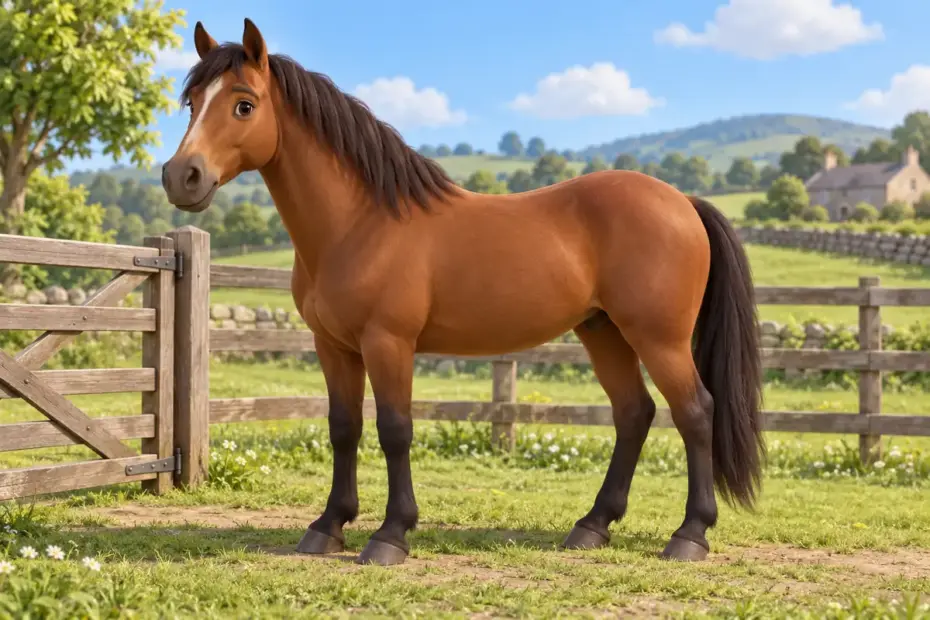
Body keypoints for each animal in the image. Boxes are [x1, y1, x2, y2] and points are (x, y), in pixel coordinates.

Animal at [160, 18, 765, 567]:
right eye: (192, 102)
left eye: (244, 105)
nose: (180, 176)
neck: (359, 223)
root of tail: (683, 202)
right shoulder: (333, 347)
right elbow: (344, 428)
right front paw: (328, 526)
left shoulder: (388, 343)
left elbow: (395, 430)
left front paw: (390, 536)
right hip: (603, 332)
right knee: (634, 414)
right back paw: (592, 526)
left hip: (658, 338)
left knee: (694, 412)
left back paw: (689, 536)